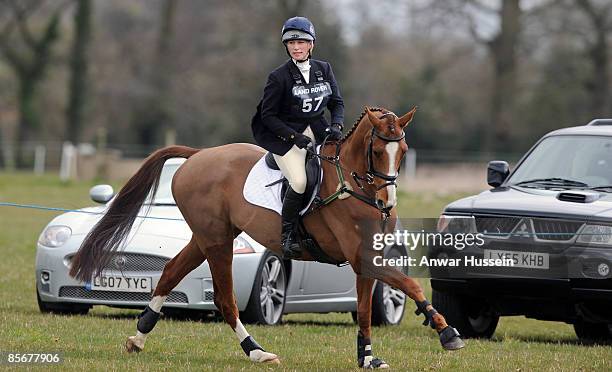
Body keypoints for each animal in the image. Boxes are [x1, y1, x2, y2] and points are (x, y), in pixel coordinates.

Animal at [69, 106, 464, 368]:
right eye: (378, 151)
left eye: (404, 152)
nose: (387, 203)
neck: (355, 187)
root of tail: (198, 156)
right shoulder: (361, 257)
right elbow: (409, 285)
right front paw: (447, 332)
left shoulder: (368, 259)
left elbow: (367, 310)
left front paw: (367, 357)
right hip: (218, 242)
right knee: (225, 300)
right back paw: (256, 351)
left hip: (208, 237)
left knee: (169, 274)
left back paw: (138, 337)